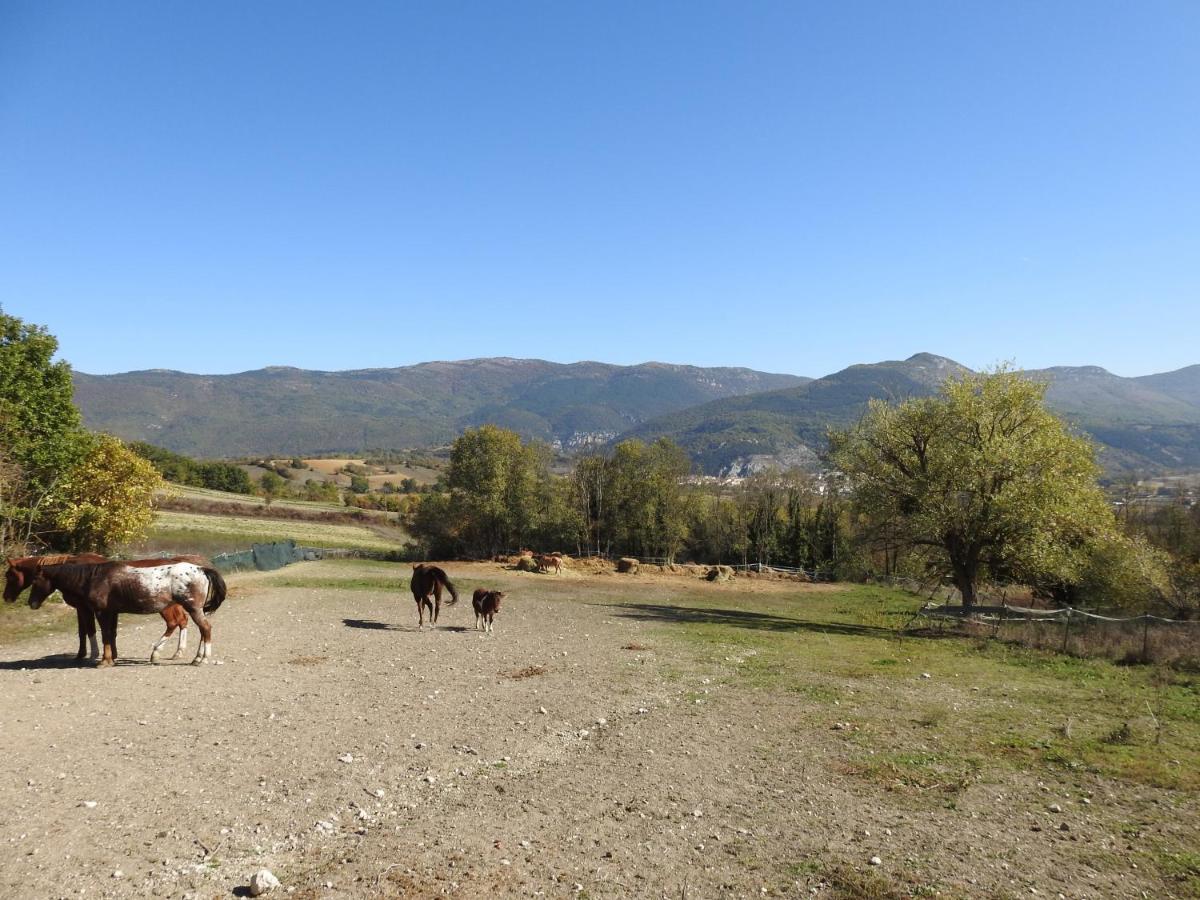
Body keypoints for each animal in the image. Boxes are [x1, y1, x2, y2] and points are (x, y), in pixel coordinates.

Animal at [4, 556, 204, 662]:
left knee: (175, 623)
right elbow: (106, 632)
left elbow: (89, 631)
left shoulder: (85, 608)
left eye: (10, 575)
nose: (5, 597)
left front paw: (90, 654)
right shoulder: (103, 610)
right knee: (182, 622)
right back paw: (177, 652)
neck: (82, 575)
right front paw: (110, 655)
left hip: (166, 608)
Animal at [25, 564, 226, 672]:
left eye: (35, 580)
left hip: (193, 609)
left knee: (205, 629)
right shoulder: (111, 612)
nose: (31, 603)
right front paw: (110, 659)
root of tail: (201, 569)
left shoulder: (102, 612)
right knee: (197, 629)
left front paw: (105, 661)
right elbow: (110, 635)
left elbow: (105, 635)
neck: (95, 577)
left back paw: (202, 659)